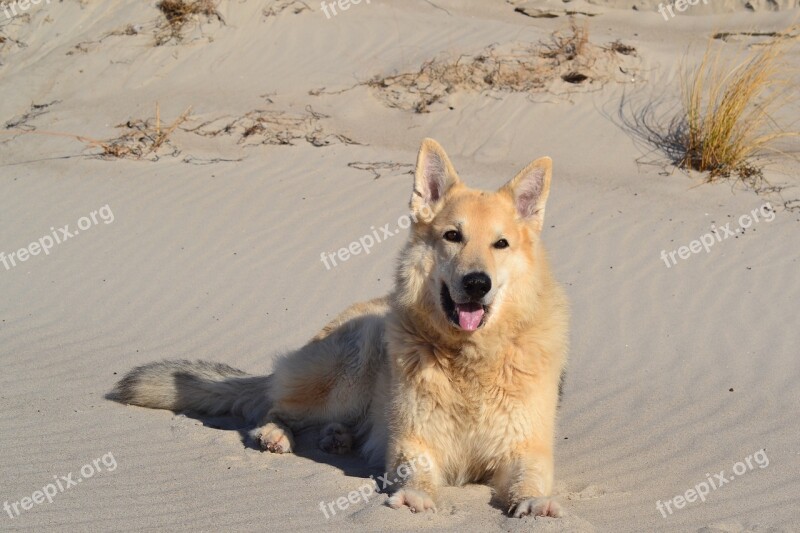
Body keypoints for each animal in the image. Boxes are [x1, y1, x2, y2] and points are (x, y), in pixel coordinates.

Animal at [111, 137, 568, 516]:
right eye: (453, 236)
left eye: (501, 244)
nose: (476, 283)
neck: (470, 358)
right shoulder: (413, 442)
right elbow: (415, 471)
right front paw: (416, 497)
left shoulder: (527, 448)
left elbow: (531, 477)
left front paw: (533, 502)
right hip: (352, 367)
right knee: (273, 409)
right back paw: (278, 435)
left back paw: (340, 439)